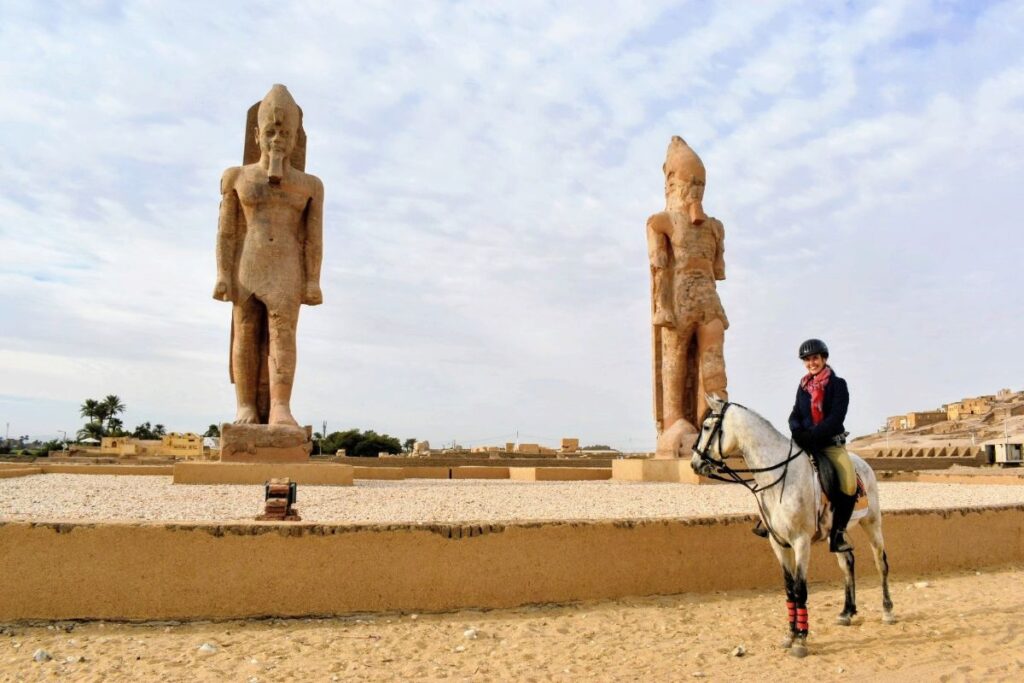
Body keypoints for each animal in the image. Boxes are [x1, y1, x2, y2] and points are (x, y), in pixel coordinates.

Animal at [688, 397, 897, 659]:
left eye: (706, 427)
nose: (695, 464)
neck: (779, 479)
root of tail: (863, 463)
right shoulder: (778, 543)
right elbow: (789, 589)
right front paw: (789, 635)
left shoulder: (801, 541)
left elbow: (800, 589)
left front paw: (801, 639)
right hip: (837, 534)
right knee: (847, 562)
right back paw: (847, 612)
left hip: (872, 522)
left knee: (881, 563)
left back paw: (887, 610)